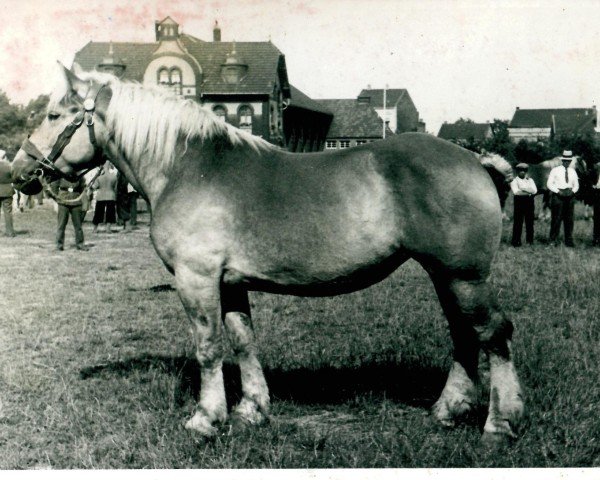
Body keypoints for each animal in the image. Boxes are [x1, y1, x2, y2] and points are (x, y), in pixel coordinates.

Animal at [11, 67, 524, 442]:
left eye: (55, 114)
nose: (19, 172)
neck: (187, 167)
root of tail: (475, 160)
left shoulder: (197, 278)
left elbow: (208, 347)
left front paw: (206, 419)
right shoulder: (231, 284)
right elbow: (243, 343)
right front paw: (252, 409)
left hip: (463, 276)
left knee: (493, 335)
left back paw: (499, 423)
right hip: (446, 276)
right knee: (464, 336)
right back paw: (448, 409)